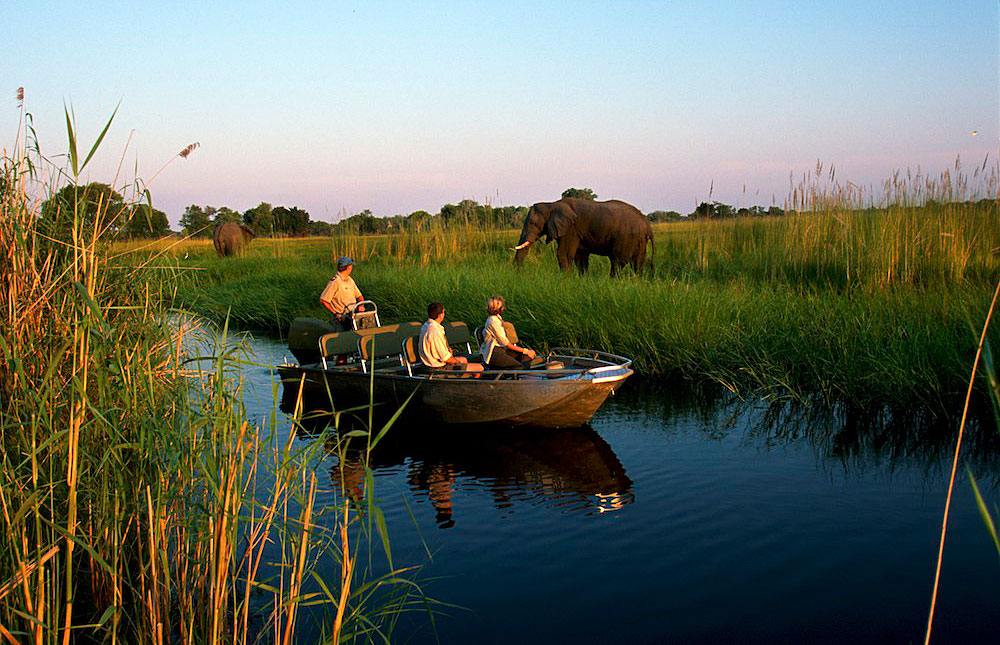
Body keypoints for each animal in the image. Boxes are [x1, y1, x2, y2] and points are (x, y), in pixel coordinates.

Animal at [512, 197, 652, 276]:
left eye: (532, 223)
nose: (519, 275)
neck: (551, 204)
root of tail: (646, 224)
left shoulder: (571, 229)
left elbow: (563, 254)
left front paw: (565, 280)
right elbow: (580, 257)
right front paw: (581, 280)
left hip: (626, 238)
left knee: (617, 261)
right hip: (638, 240)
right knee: (638, 263)